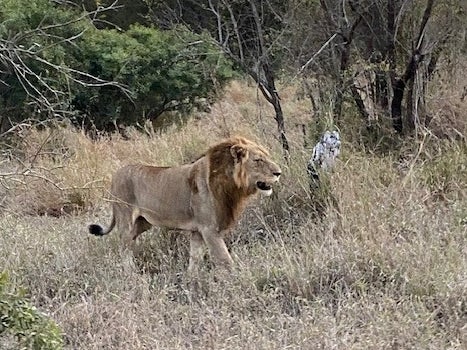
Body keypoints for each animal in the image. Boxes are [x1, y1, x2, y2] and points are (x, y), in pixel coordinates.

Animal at [90, 136, 282, 270]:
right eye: (258, 160)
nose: (278, 173)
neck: (231, 186)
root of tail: (115, 176)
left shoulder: (197, 231)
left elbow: (194, 260)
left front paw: (192, 282)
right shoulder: (209, 230)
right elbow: (225, 260)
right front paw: (236, 282)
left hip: (143, 223)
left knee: (128, 242)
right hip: (126, 220)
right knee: (124, 247)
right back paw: (131, 274)